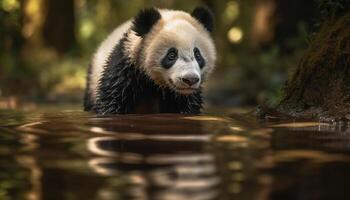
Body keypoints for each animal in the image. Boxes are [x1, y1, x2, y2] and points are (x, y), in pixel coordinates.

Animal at [84, 5, 216, 114]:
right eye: (171, 55)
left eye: (197, 55)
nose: (190, 79)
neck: (155, 82)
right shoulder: (127, 68)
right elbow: (112, 99)